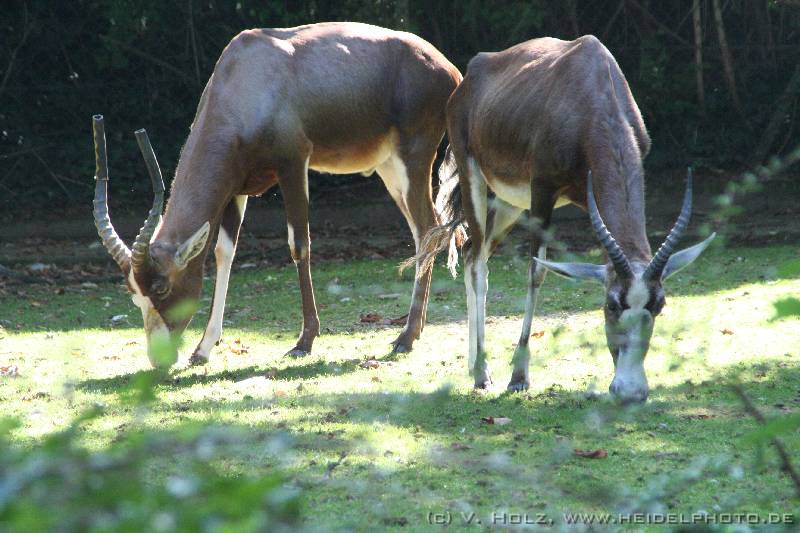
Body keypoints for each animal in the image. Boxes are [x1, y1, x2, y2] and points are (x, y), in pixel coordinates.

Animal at [91, 22, 461, 368]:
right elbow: (224, 253)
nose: (159, 360)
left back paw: (406, 338)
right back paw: (413, 331)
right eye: (134, 294)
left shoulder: (293, 164)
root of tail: (449, 70)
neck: (244, 77)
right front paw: (203, 349)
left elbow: (299, 245)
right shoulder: (236, 188)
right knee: (423, 231)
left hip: (412, 159)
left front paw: (304, 342)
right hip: (389, 169)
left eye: (162, 287)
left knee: (427, 229)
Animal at [413, 35, 715, 403]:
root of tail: (470, 76)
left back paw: (475, 365)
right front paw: (518, 378)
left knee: (472, 251)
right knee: (477, 264)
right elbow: (536, 272)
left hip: (509, 202)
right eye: (611, 305)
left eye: (659, 305)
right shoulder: (543, 189)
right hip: (477, 179)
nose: (631, 392)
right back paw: (482, 374)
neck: (592, 86)